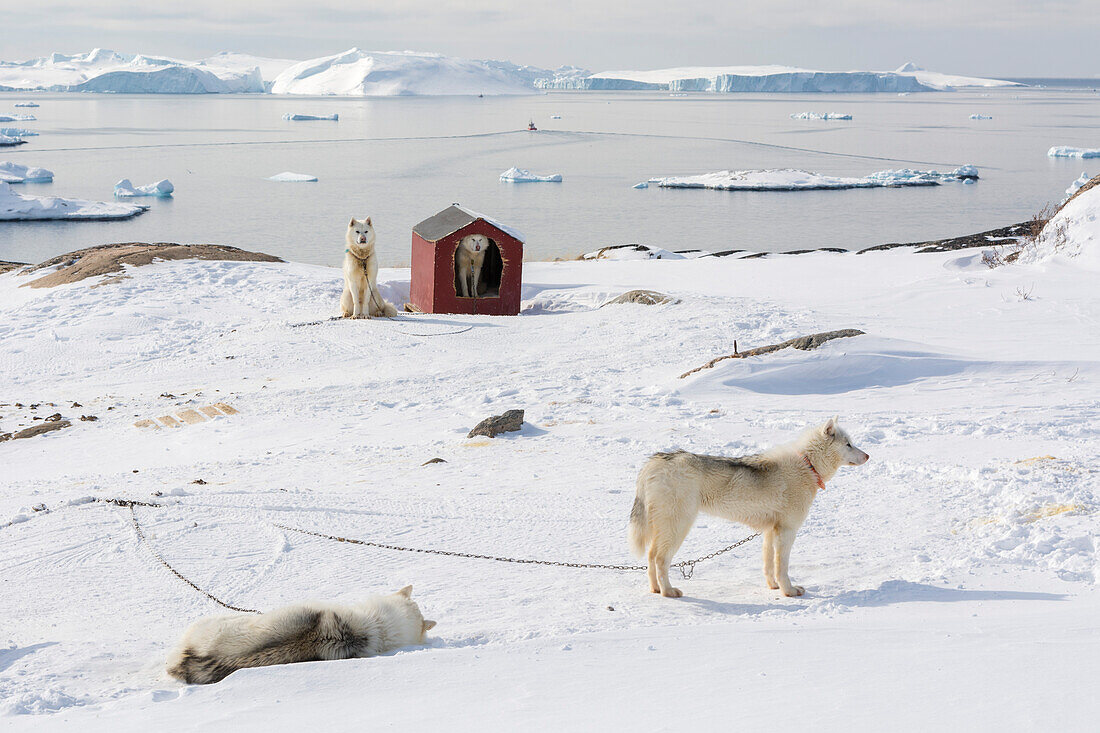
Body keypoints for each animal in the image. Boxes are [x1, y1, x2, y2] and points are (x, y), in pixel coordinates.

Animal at [629, 416, 866, 594]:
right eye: (848, 444)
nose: (868, 455)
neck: (807, 464)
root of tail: (655, 461)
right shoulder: (787, 531)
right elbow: (782, 567)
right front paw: (789, 591)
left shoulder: (771, 531)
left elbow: (769, 565)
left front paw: (774, 587)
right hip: (678, 526)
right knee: (660, 559)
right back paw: (668, 592)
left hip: (664, 527)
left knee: (651, 556)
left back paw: (656, 590)